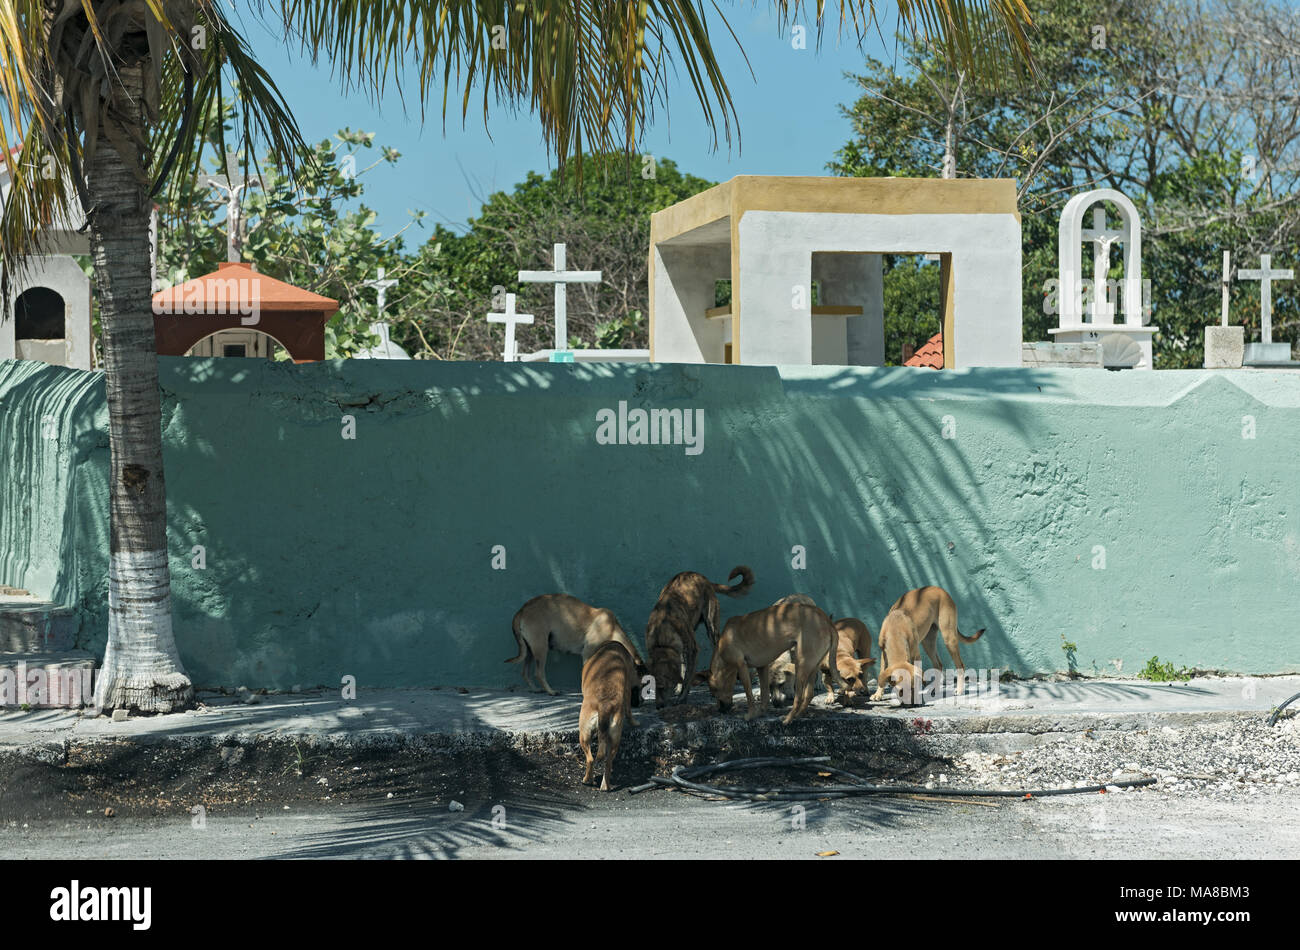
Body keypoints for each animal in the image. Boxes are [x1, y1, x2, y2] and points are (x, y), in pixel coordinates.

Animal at [504, 590, 642, 696]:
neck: (613, 629)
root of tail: (522, 610)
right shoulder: (587, 654)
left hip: (530, 651)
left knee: (525, 672)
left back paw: (535, 689)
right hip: (541, 648)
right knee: (539, 673)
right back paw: (551, 691)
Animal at [579, 641, 639, 790]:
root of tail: (604, 705)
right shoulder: (628, 689)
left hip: (584, 734)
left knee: (590, 759)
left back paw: (587, 780)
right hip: (615, 738)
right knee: (608, 762)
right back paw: (605, 786)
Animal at [647, 564, 759, 706]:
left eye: (663, 685)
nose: (659, 707)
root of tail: (701, 576)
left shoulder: (693, 650)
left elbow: (688, 677)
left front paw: (682, 697)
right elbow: (683, 671)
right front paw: (678, 690)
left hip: (711, 628)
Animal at [707, 603, 837, 727]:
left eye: (714, 690)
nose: (720, 710)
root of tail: (826, 619)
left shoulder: (742, 667)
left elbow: (749, 695)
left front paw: (751, 714)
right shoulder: (762, 667)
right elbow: (764, 695)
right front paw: (760, 712)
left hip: (801, 664)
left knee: (798, 698)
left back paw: (788, 718)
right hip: (811, 666)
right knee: (809, 694)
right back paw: (798, 715)